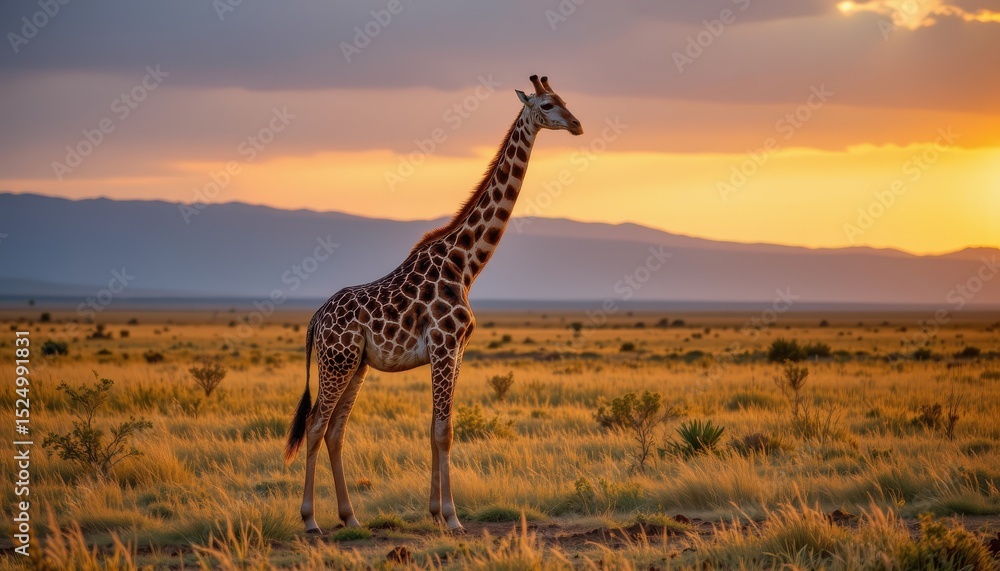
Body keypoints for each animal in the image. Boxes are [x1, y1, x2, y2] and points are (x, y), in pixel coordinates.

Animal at [283, 75, 582, 533]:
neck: (466, 264)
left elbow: (435, 429)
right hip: (336, 362)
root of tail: (316, 319)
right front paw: (453, 518)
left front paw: (435, 513)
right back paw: (311, 520)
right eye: (548, 105)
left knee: (335, 429)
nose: (577, 124)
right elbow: (444, 431)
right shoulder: (444, 345)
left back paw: (350, 517)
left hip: (356, 365)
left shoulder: (457, 350)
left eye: (565, 99)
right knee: (316, 425)